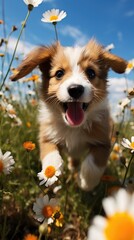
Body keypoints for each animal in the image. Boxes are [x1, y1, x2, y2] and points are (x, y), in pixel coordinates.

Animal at [10, 39, 126, 191]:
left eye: (91, 72)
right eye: (59, 73)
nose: (75, 89)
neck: (73, 128)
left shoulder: (103, 142)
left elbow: (92, 167)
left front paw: (84, 182)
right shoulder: (46, 136)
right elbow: (50, 155)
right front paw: (52, 173)